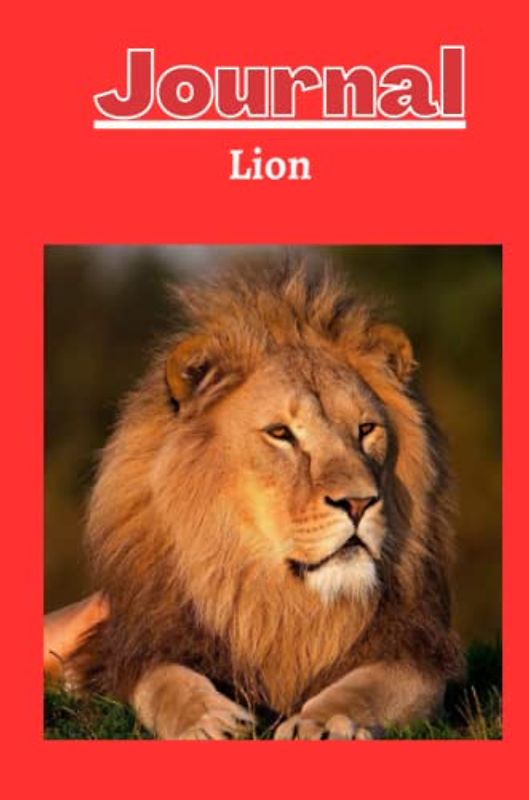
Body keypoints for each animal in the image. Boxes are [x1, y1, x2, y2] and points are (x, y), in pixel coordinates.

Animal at [47, 260, 463, 739]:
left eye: (366, 430)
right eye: (281, 433)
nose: (359, 503)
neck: (274, 596)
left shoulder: (415, 651)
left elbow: (369, 688)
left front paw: (322, 723)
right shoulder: (143, 646)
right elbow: (164, 681)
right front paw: (209, 722)